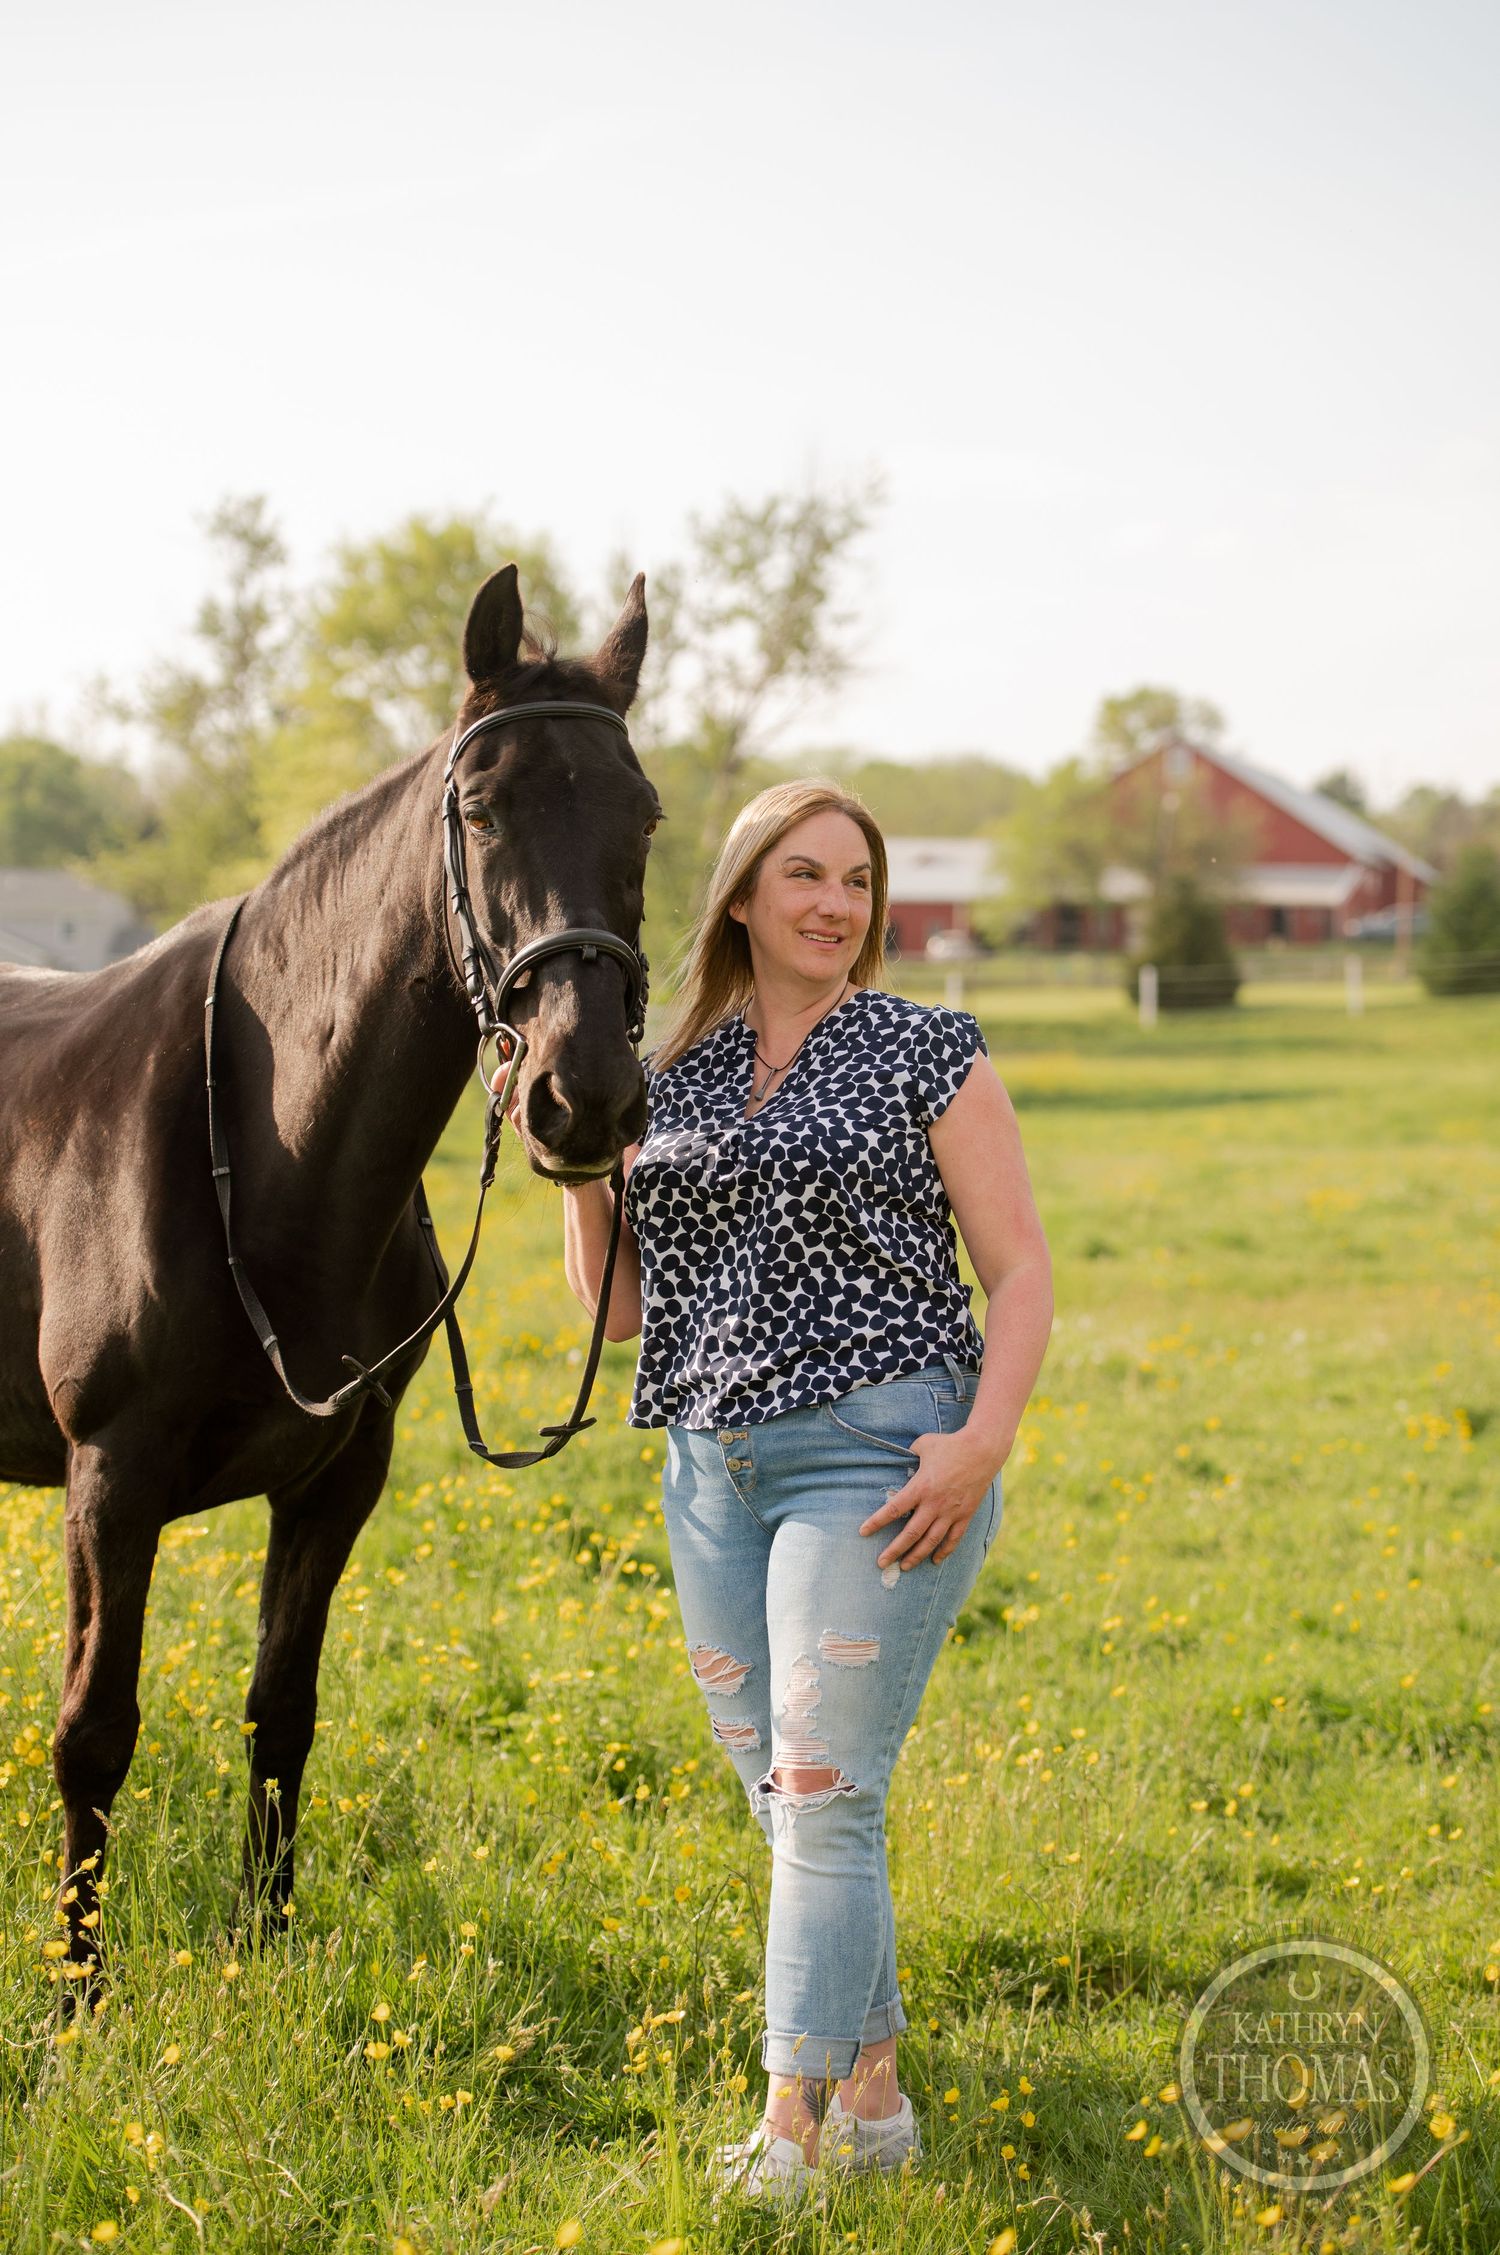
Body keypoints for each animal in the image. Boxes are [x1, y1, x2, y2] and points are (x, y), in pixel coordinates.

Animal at [0, 565, 658, 1974]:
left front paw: (263, 1946)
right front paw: (79, 1989)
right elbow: (94, 1731)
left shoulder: (337, 1477)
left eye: (644, 813)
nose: (582, 1094)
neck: (266, 1155)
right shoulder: (108, 1477)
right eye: (482, 806)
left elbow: (280, 1708)